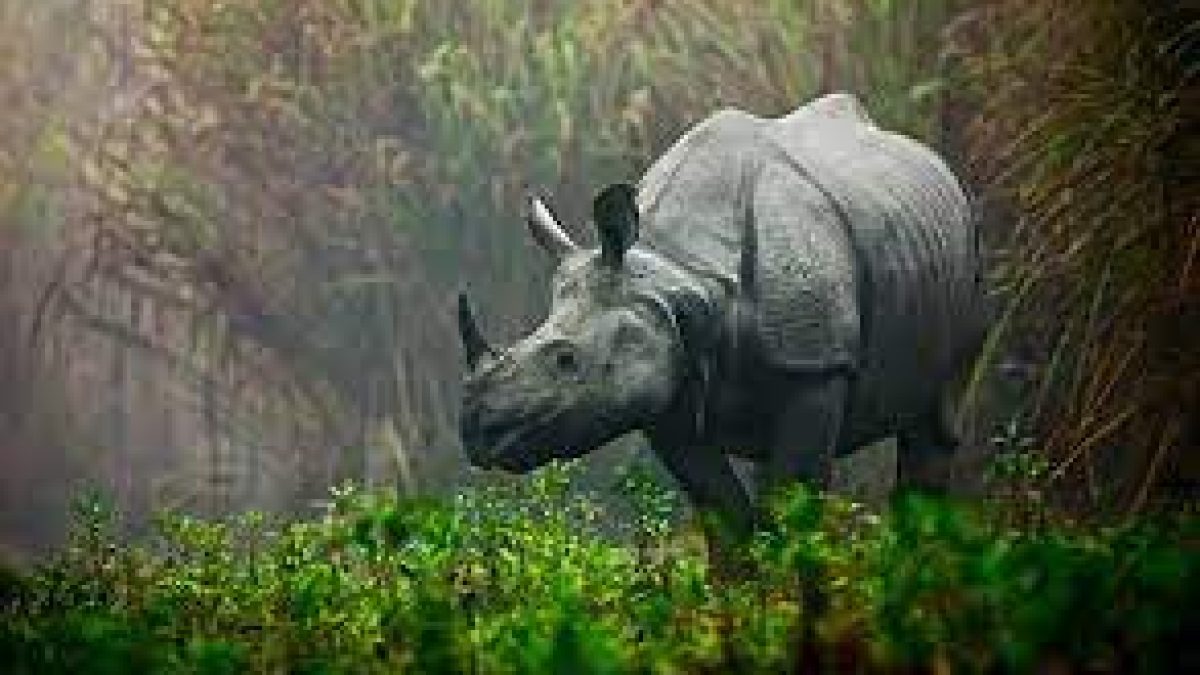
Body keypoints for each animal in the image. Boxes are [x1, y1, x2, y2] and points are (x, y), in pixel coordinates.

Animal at [458, 93, 982, 534]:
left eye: (566, 360)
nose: (477, 430)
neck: (683, 276)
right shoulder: (669, 379)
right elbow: (726, 518)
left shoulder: (816, 366)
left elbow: (790, 513)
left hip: (970, 248)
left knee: (938, 422)